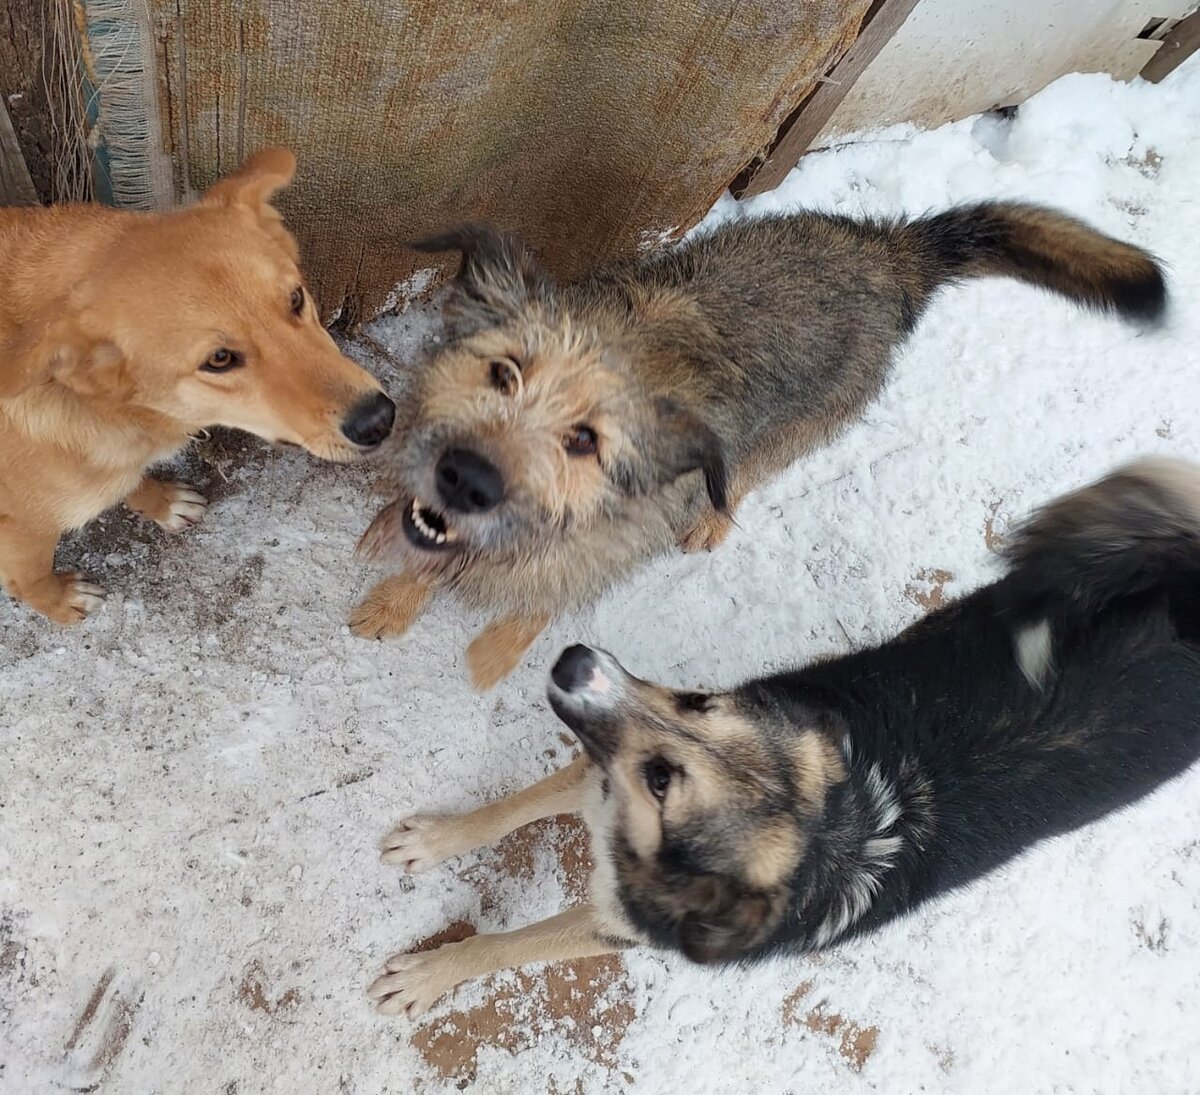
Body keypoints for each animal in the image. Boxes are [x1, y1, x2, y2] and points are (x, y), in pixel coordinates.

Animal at [0, 147, 393, 624]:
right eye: (219, 360)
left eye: (296, 299)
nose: (379, 419)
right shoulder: (21, 531)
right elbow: (28, 580)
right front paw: (58, 602)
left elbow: (132, 481)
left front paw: (160, 501)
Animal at [350, 200, 1161, 686]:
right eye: (503, 372)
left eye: (585, 440)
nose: (466, 478)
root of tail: (887, 253)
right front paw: (394, 592)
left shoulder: (610, 546)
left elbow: (540, 603)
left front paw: (493, 652)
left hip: (794, 432)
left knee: (744, 476)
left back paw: (713, 518)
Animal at [369, 458, 1195, 1013]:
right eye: (696, 699)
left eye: (664, 781)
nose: (575, 657)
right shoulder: (606, 745)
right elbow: (507, 809)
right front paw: (437, 839)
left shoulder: (621, 914)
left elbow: (507, 944)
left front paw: (430, 976)